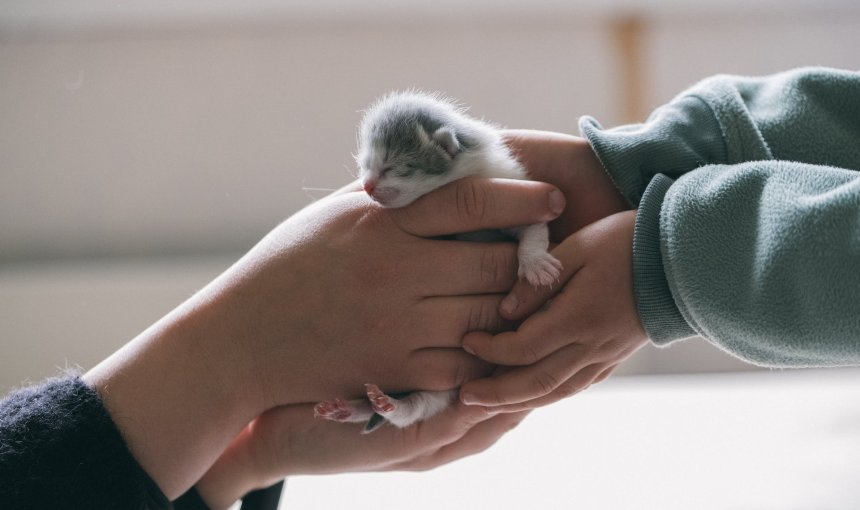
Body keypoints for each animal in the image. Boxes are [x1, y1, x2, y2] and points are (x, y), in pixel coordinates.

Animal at [312, 90, 560, 430]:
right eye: (366, 166)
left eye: (393, 166)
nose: (367, 186)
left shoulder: (510, 190)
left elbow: (533, 227)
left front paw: (536, 264)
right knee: (414, 408)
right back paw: (360, 408)